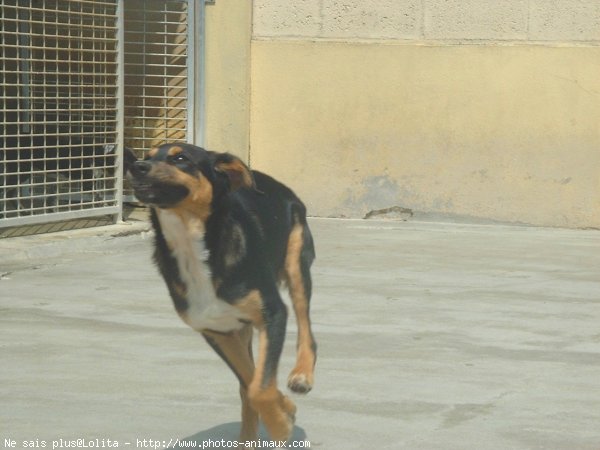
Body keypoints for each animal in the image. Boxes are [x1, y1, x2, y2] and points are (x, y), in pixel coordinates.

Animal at [125, 144, 316, 442]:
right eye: (149, 155)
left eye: (181, 158)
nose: (136, 167)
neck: (191, 244)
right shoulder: (217, 330)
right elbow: (252, 384)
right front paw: (284, 409)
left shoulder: (273, 313)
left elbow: (259, 388)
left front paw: (282, 425)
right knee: (246, 385)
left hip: (297, 264)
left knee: (306, 326)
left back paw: (302, 375)